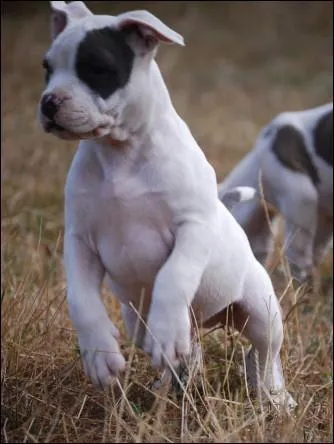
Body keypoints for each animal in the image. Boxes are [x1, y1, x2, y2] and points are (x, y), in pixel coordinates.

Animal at [38, 0, 294, 410]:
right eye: (47, 69)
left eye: (98, 69)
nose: (49, 102)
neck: (121, 153)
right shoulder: (79, 242)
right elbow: (81, 299)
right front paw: (99, 353)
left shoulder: (192, 227)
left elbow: (174, 276)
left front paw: (166, 324)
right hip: (139, 324)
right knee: (188, 353)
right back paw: (170, 384)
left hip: (262, 312)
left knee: (265, 353)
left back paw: (274, 395)